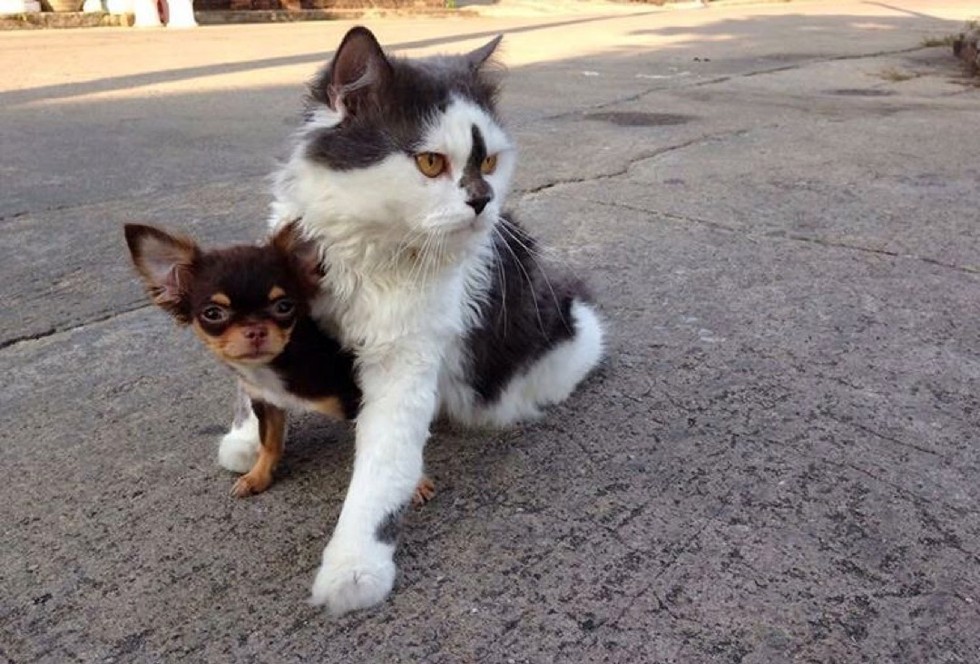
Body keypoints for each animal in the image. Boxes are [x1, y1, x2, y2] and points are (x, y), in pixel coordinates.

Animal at [218, 26, 604, 616]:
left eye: (489, 163)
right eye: (429, 164)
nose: (483, 202)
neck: (362, 252)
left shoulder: (404, 366)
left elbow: (380, 472)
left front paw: (354, 568)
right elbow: (250, 382)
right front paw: (245, 440)